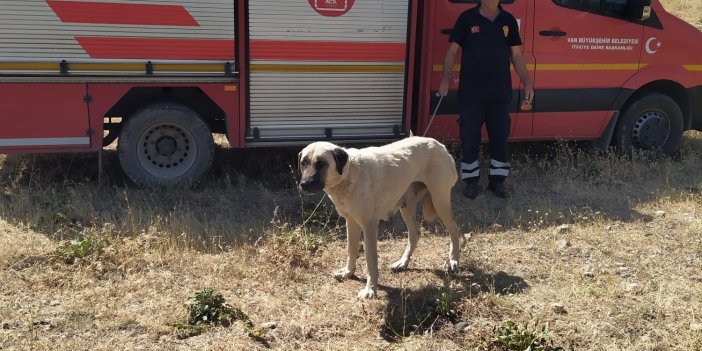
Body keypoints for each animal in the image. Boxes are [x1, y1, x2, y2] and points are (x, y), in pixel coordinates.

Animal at [296, 136, 462, 298]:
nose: (304, 184)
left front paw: (370, 290)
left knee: (455, 231)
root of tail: (440, 145)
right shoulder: (351, 222)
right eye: (303, 163)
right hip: (406, 206)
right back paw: (403, 262)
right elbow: (351, 250)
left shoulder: (369, 225)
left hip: (439, 202)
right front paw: (348, 273)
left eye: (321, 164)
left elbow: (370, 260)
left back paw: (453, 260)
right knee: (415, 233)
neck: (348, 174)